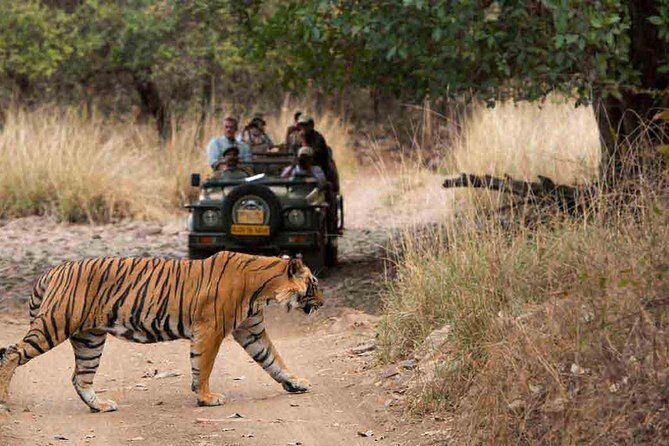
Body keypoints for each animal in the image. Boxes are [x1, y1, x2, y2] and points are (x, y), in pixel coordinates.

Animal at [0, 252, 323, 413]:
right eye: (314, 283)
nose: (322, 303)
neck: (263, 290)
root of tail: (52, 270)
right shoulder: (210, 330)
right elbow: (203, 367)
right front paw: (206, 398)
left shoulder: (251, 331)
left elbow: (274, 360)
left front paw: (296, 383)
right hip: (55, 324)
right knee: (12, 353)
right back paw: (3, 399)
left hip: (90, 339)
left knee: (80, 378)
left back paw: (101, 405)